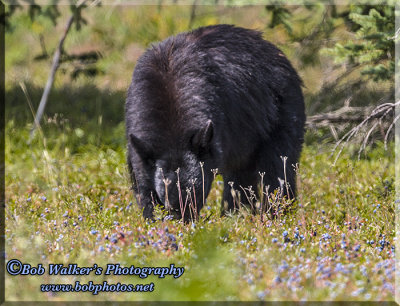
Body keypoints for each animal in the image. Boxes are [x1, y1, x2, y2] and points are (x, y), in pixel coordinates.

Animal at [126, 24, 304, 220]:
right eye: (168, 202)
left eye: (196, 194)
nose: (185, 222)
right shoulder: (137, 128)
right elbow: (142, 181)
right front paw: (151, 216)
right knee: (242, 174)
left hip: (279, 113)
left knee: (277, 168)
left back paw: (275, 211)